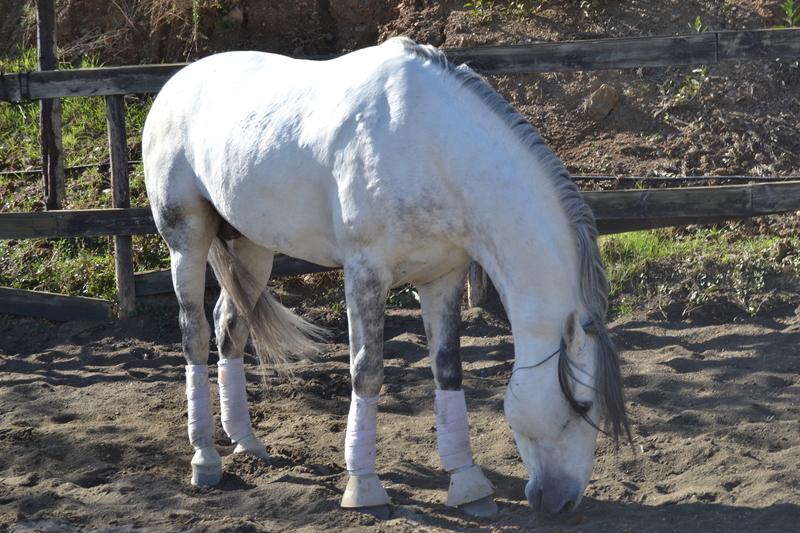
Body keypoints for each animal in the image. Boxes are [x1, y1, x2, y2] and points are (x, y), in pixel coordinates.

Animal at [142, 36, 630, 518]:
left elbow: (448, 370)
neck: (433, 149)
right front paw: (364, 487)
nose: (562, 501)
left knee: (230, 327)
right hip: (187, 240)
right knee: (195, 334)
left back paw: (246, 440)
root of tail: (174, 85)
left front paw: (468, 483)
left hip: (252, 246)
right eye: (582, 404)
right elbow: (367, 372)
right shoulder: (366, 274)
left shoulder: (443, 276)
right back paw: (206, 457)